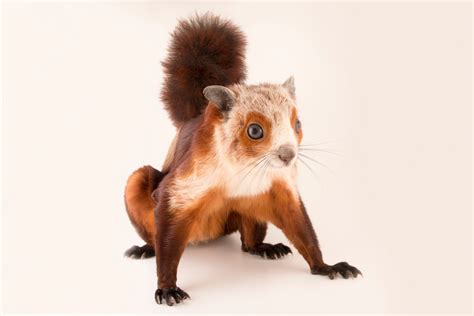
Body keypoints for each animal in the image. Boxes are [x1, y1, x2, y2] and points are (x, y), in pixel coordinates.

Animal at [122, 12, 360, 306]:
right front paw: (167, 287)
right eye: (255, 130)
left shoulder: (280, 187)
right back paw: (146, 248)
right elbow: (168, 225)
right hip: (141, 190)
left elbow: (299, 224)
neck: (243, 166)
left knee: (248, 243)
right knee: (153, 226)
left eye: (297, 124)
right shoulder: (182, 187)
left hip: (250, 207)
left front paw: (325, 266)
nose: (288, 155)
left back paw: (264, 248)